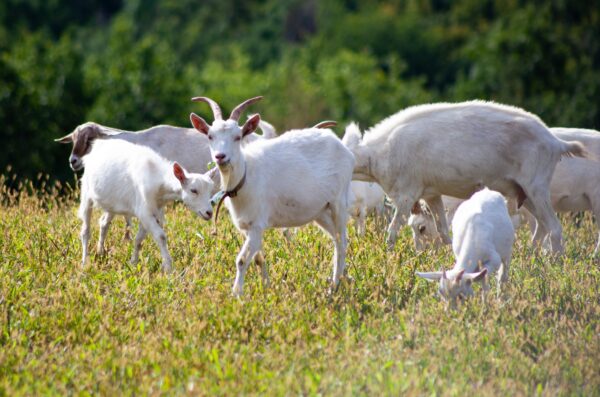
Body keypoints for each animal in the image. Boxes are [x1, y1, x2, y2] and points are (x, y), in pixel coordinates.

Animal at [79, 138, 216, 270]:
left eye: (210, 190)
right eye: (193, 190)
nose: (209, 213)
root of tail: (97, 145)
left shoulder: (153, 211)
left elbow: (138, 239)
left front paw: (133, 263)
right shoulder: (144, 211)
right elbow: (161, 236)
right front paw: (169, 268)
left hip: (112, 202)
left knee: (104, 223)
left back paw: (100, 252)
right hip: (86, 192)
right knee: (86, 230)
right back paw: (85, 261)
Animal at [190, 95, 354, 294]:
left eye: (238, 137)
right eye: (210, 136)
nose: (220, 156)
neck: (245, 178)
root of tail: (342, 147)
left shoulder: (257, 224)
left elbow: (242, 260)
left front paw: (236, 294)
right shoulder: (247, 227)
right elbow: (258, 259)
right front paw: (265, 288)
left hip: (339, 201)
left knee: (342, 241)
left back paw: (333, 287)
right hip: (320, 211)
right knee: (337, 239)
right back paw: (345, 279)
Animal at [342, 100, 584, 252]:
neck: (379, 153)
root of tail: (556, 143)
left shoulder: (406, 195)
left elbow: (392, 230)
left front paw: (389, 255)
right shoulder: (431, 194)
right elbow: (443, 231)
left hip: (537, 186)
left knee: (555, 228)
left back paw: (556, 265)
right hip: (524, 192)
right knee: (543, 227)